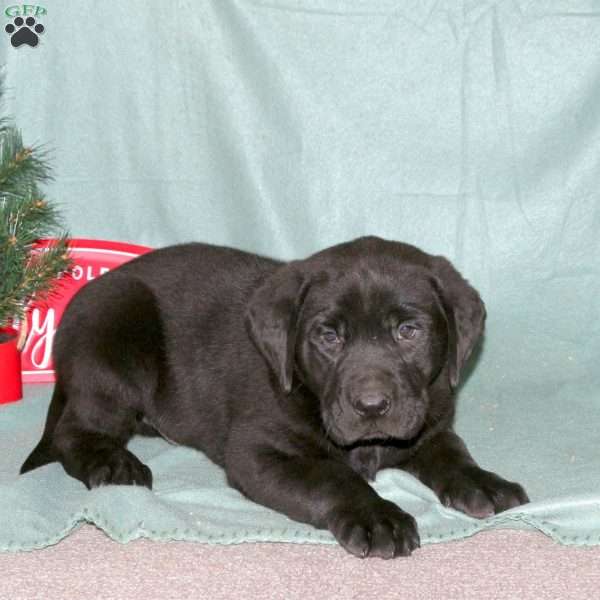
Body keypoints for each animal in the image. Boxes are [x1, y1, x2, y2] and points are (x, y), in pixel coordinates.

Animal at [22, 234, 528, 556]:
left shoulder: (430, 422)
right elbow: (332, 477)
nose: (371, 407)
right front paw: (377, 517)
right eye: (329, 336)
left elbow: (454, 454)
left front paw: (485, 482)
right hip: (115, 335)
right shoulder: (256, 451)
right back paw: (114, 464)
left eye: (408, 331)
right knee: (73, 431)